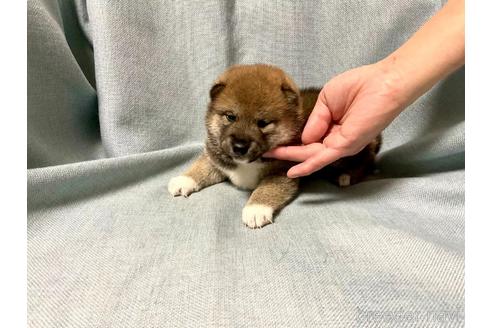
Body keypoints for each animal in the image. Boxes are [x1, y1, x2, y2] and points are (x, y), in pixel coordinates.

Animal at [167, 64, 378, 228]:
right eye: (230, 117)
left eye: (263, 123)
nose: (239, 146)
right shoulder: (217, 158)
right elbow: (201, 167)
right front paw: (184, 180)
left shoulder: (282, 173)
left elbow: (267, 189)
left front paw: (255, 208)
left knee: (365, 162)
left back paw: (345, 176)